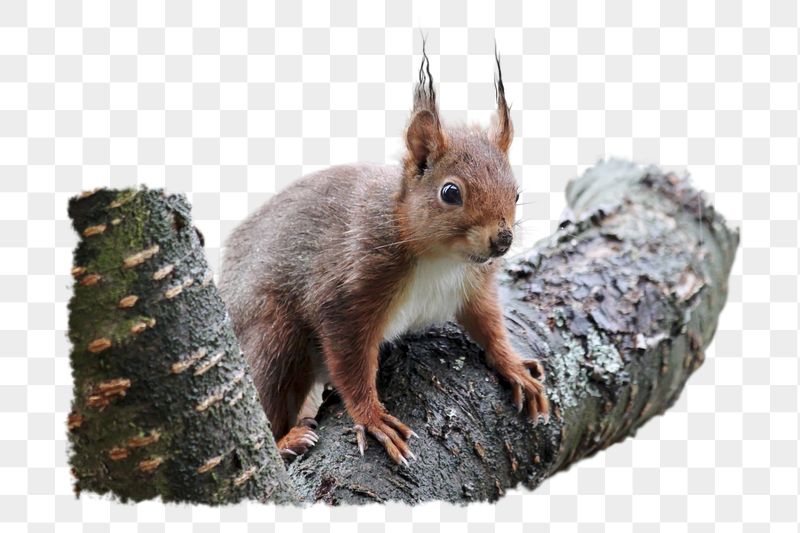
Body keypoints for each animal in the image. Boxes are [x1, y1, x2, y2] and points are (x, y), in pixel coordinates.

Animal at [219, 46, 549, 466]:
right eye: (450, 192)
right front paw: (372, 418)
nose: (503, 240)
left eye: (517, 193)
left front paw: (513, 365)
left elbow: (488, 323)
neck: (441, 259)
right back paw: (286, 441)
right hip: (271, 335)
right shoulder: (349, 287)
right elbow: (350, 362)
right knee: (267, 396)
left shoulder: (473, 285)